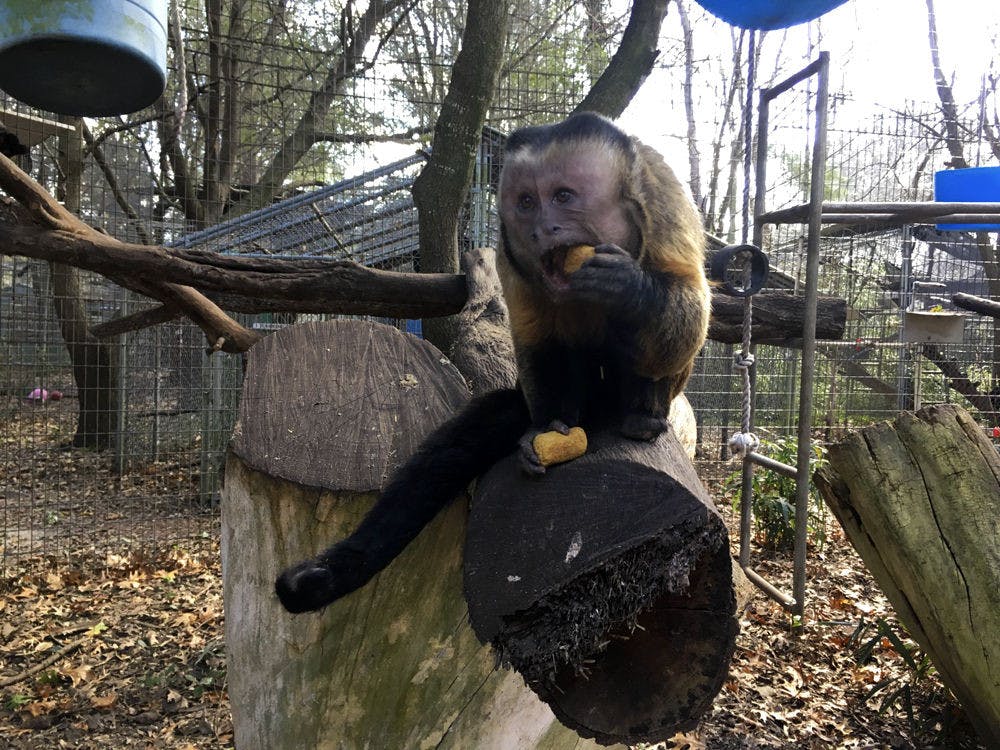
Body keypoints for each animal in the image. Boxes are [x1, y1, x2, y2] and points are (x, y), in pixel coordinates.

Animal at [274, 113, 712, 616]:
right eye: (526, 203)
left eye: (562, 197)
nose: (543, 228)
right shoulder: (510, 253)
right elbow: (536, 341)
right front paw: (547, 429)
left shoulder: (663, 201)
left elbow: (690, 313)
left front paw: (627, 287)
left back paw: (641, 412)